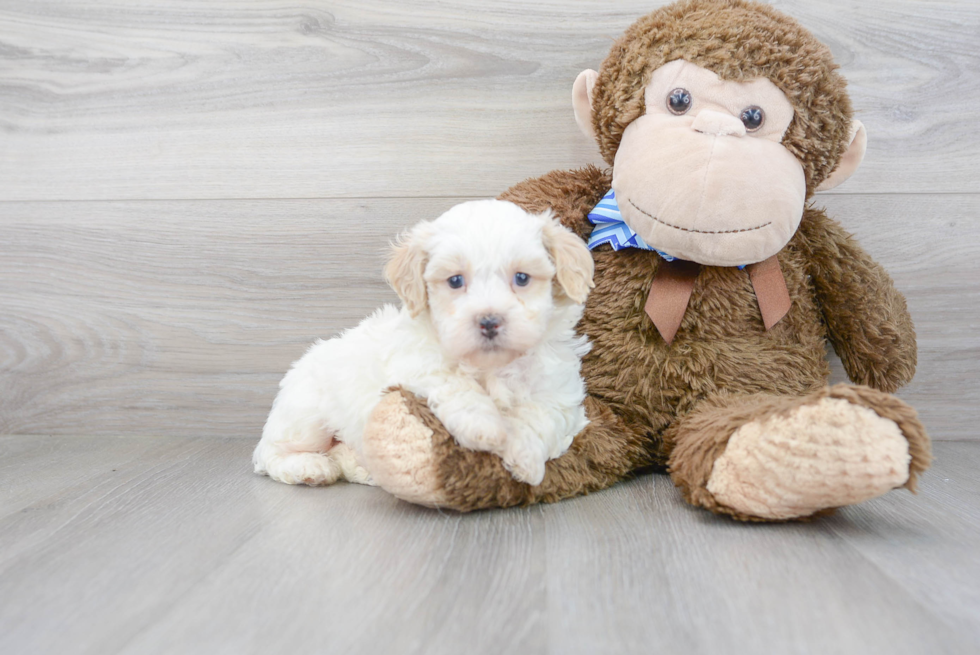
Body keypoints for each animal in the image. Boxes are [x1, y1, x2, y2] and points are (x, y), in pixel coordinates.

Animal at [249, 200, 592, 486]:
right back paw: (309, 468)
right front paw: (485, 428)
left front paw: (525, 457)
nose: (489, 321)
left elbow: (541, 416)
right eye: (455, 281)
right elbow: (455, 384)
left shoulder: (560, 392)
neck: (490, 365)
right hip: (307, 416)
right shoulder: (416, 363)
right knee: (270, 453)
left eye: (522, 278)